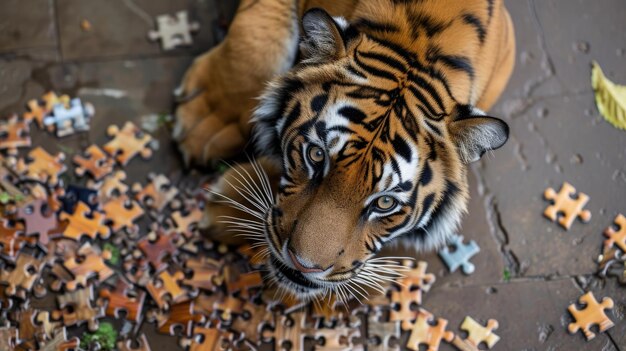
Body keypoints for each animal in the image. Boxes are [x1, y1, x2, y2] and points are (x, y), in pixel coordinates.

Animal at [171, 0, 512, 302]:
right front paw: (207, 124)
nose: (304, 266)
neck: (417, 40)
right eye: (316, 155)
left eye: (385, 203)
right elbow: (251, 47)